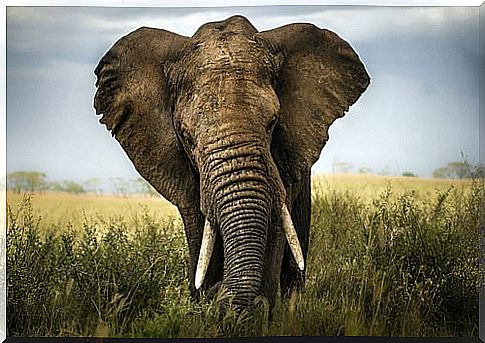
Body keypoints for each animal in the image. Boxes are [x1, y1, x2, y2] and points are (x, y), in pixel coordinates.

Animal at [92, 15, 368, 312]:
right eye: (186, 136)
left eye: (272, 123)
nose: (219, 293)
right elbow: (200, 229)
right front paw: (206, 303)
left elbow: (274, 227)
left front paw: (254, 310)